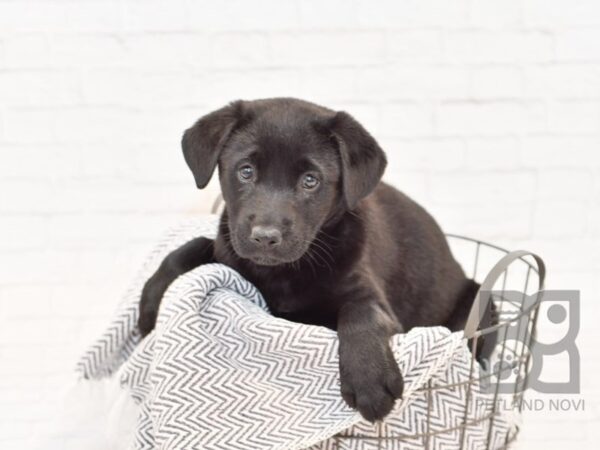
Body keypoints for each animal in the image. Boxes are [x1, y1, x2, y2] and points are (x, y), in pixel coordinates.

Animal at [139, 97, 478, 422]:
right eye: (246, 171)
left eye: (310, 180)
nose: (265, 237)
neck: (285, 272)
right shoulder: (229, 248)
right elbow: (194, 245)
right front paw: (150, 303)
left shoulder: (370, 295)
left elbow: (361, 310)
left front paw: (369, 380)